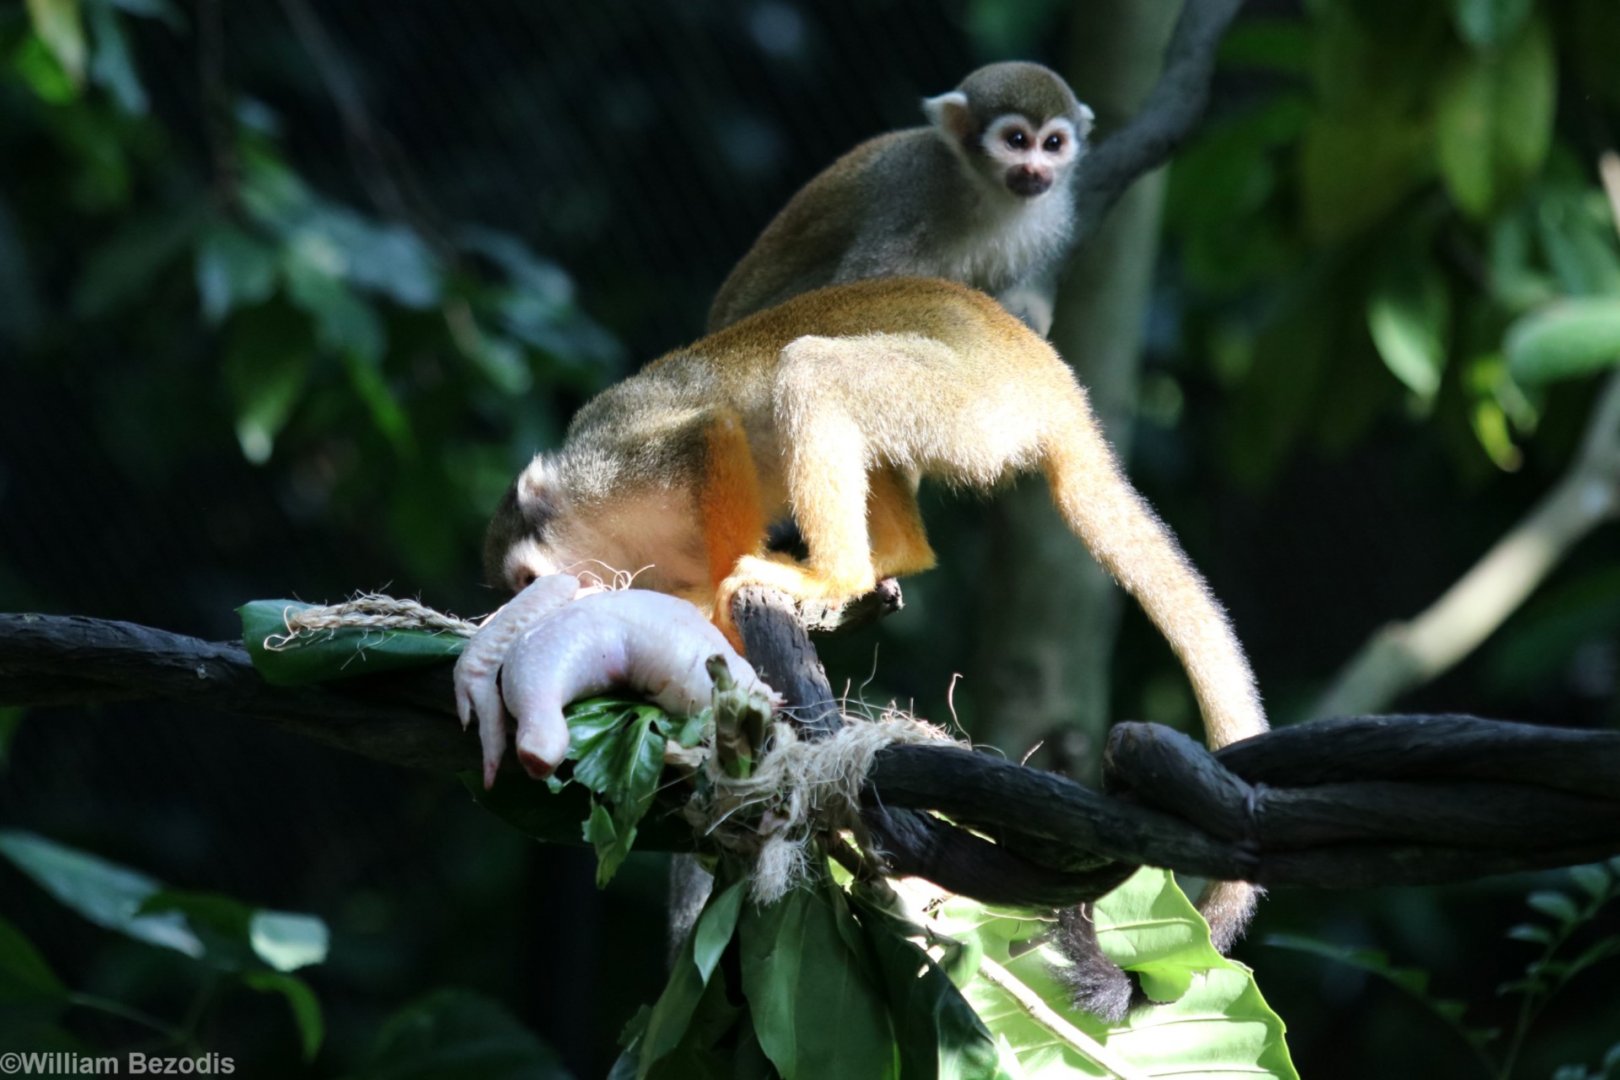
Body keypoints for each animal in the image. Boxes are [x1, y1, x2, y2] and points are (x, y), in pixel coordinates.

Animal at [482, 276, 1266, 954]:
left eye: (524, 578)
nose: (550, 601)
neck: (608, 532)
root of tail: (1054, 389)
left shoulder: (610, 463)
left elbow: (710, 436)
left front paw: (731, 604)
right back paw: (891, 557)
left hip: (967, 404)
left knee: (812, 369)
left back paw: (838, 572)